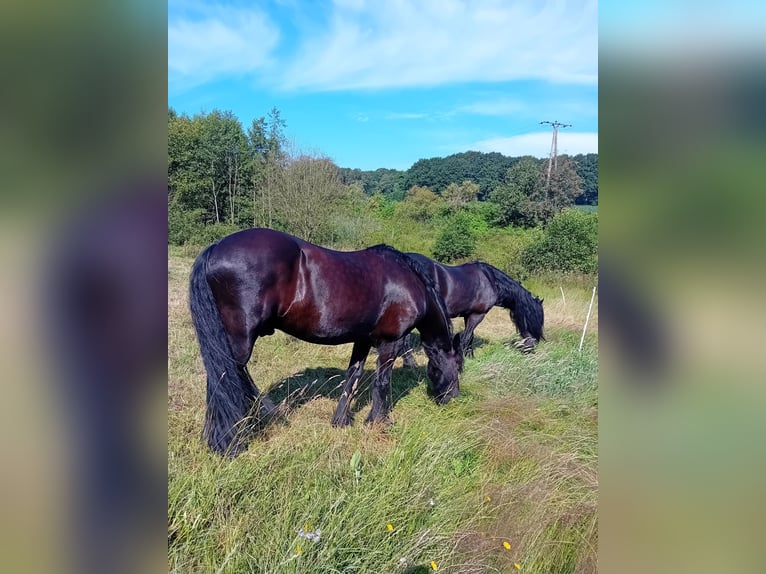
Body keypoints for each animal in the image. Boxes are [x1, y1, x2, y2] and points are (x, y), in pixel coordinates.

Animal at [189, 227, 462, 456]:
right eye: (459, 366)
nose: (454, 399)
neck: (410, 282)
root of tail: (216, 247)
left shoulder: (363, 340)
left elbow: (353, 377)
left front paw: (341, 421)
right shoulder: (391, 342)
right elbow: (382, 383)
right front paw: (378, 422)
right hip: (239, 340)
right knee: (226, 377)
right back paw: (232, 440)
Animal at [400, 253, 544, 362]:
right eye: (535, 319)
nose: (533, 345)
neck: (491, 280)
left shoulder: (468, 314)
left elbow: (470, 338)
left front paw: (470, 357)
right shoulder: (478, 315)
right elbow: (466, 338)